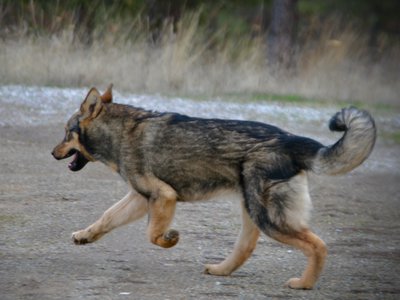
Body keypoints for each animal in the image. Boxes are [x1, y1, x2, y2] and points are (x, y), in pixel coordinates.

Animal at [51, 84, 376, 288]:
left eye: (67, 133)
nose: (52, 153)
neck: (121, 132)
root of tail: (291, 140)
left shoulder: (163, 196)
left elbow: (152, 234)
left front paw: (170, 239)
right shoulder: (140, 197)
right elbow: (106, 217)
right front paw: (84, 236)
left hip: (269, 219)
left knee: (318, 245)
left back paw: (304, 284)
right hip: (252, 212)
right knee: (245, 248)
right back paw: (220, 270)